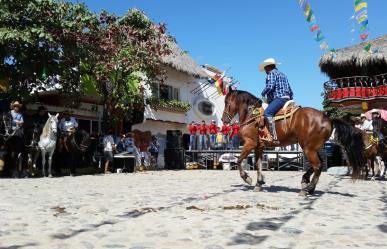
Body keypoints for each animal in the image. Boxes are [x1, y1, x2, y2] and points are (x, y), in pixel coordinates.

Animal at [223, 90, 366, 196]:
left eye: (226, 101)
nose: (224, 119)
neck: (252, 116)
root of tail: (328, 119)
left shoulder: (250, 143)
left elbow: (239, 160)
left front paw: (247, 178)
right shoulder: (259, 147)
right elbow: (258, 165)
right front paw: (259, 184)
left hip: (308, 148)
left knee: (318, 165)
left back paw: (308, 189)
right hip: (313, 148)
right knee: (319, 164)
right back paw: (305, 182)